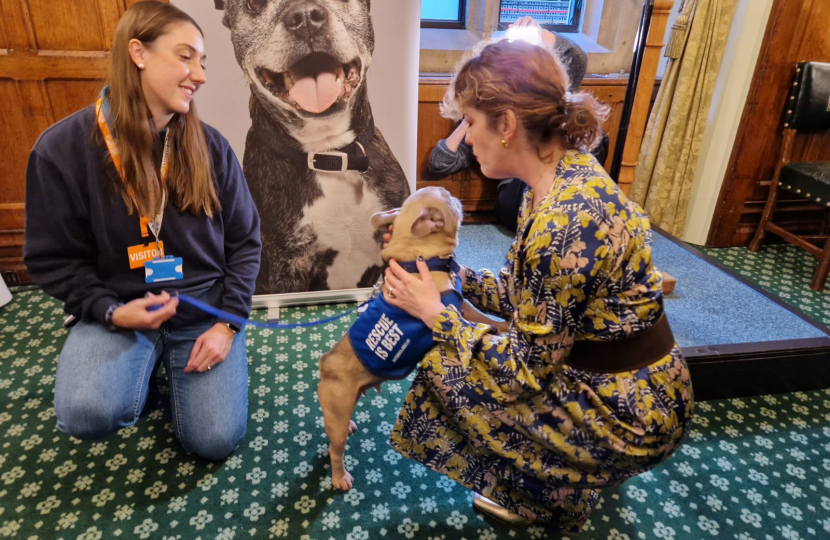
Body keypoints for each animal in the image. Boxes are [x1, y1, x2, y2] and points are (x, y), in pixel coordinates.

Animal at [316, 186, 468, 490]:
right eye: (447, 198)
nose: (452, 193)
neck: (418, 258)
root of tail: (325, 364)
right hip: (337, 411)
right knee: (335, 450)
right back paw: (340, 477)